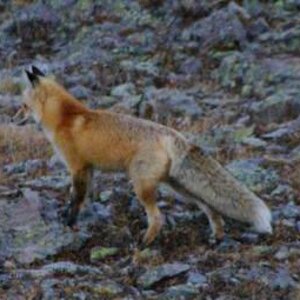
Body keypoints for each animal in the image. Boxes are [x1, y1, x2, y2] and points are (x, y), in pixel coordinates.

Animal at [18, 67, 272, 245]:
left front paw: (69, 224)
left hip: (142, 185)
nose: (13, 117)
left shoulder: (77, 167)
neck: (65, 118)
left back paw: (145, 243)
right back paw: (217, 236)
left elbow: (76, 199)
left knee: (158, 218)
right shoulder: (89, 169)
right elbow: (82, 197)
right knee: (209, 206)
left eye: (23, 105)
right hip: (178, 186)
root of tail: (172, 134)